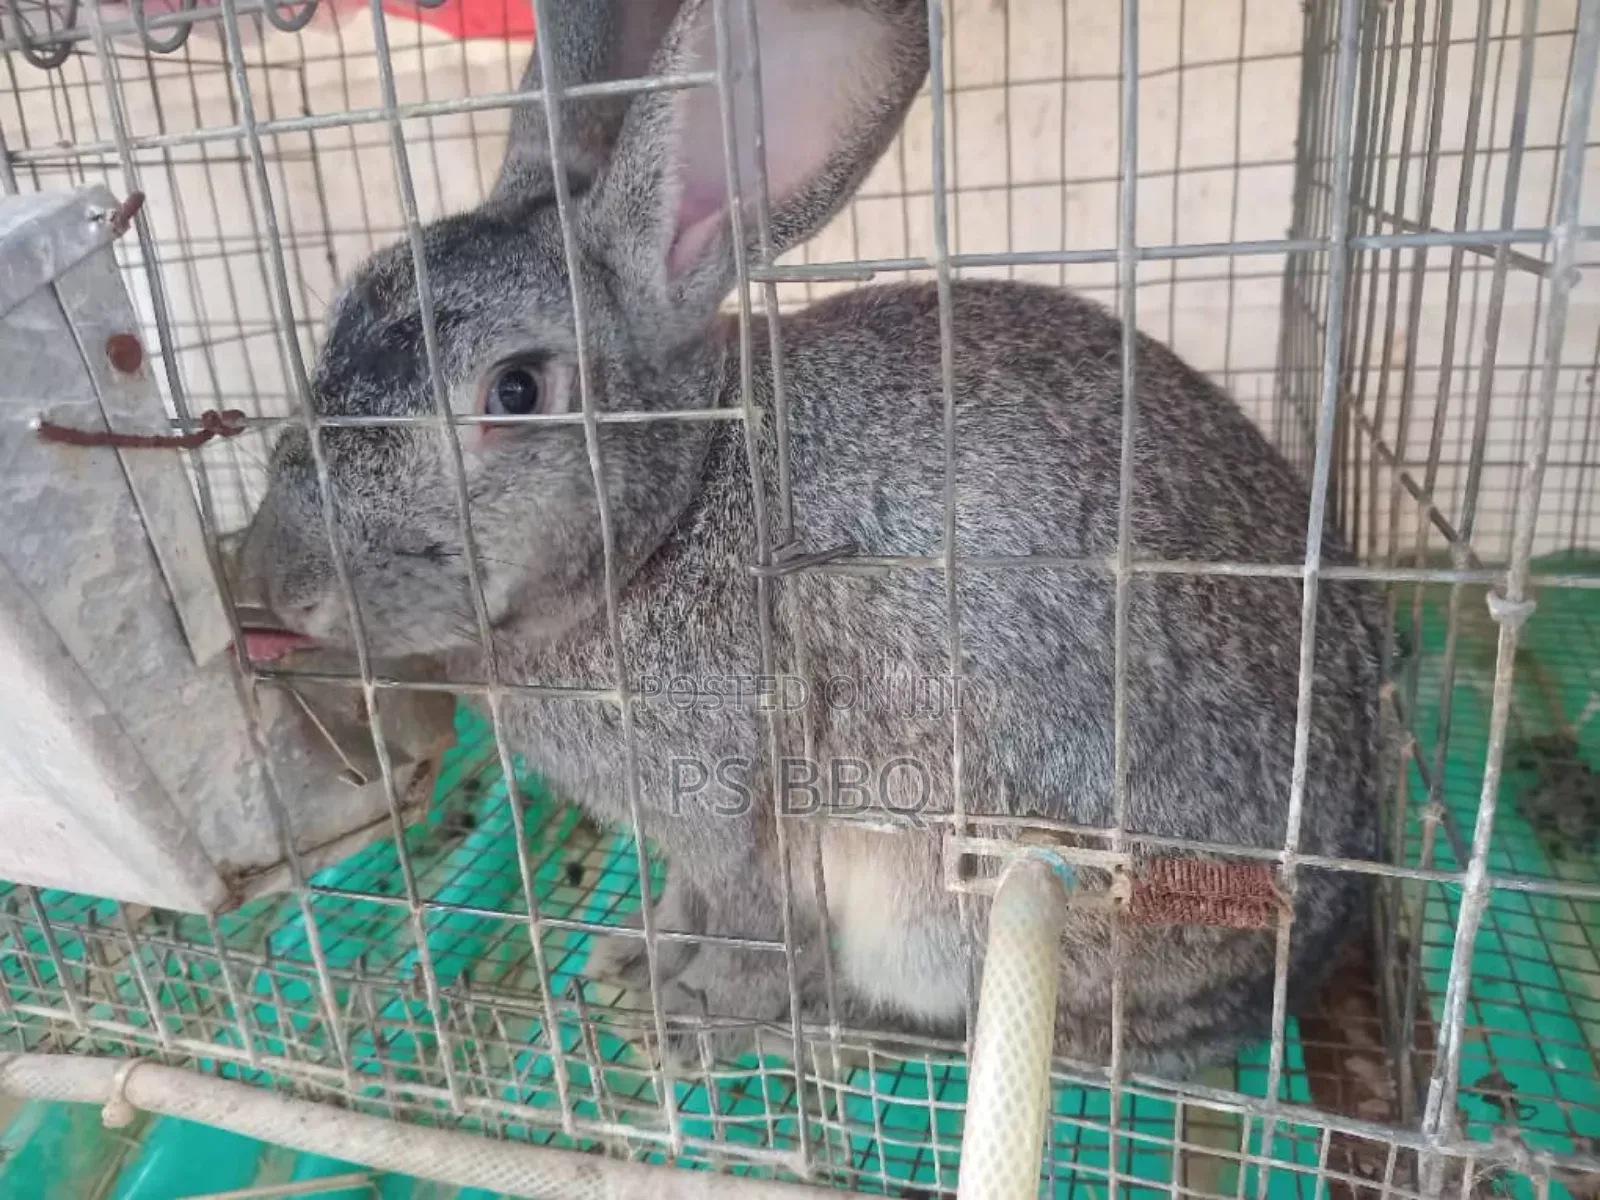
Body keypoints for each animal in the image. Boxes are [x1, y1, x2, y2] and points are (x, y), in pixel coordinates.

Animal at [238, 0, 1382, 1078]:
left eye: (514, 390)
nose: (285, 580)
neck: (678, 510)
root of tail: (1298, 955)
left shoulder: (738, 815)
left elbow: (751, 933)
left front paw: (691, 1019)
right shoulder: (689, 846)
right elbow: (687, 904)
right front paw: (634, 957)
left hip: (972, 895)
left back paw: (831, 1032)